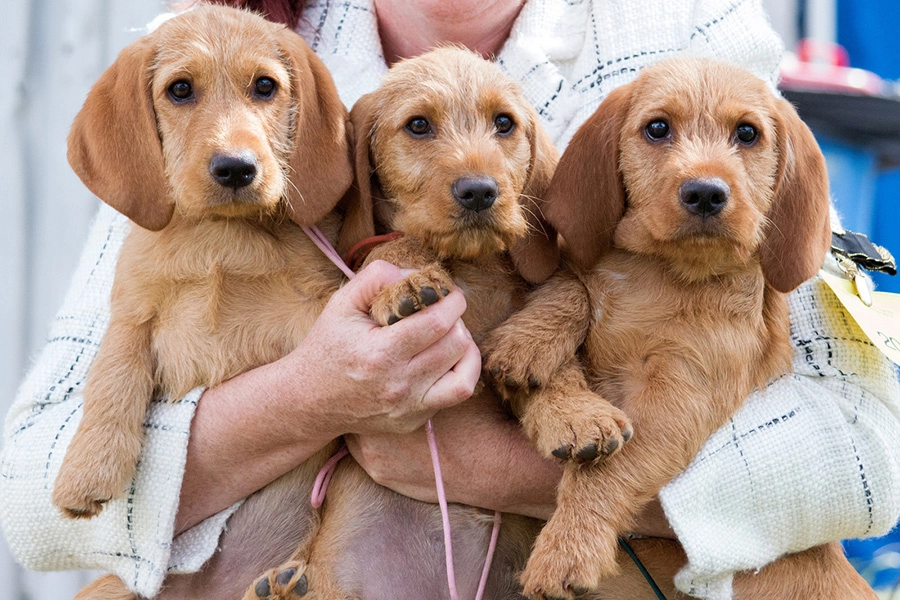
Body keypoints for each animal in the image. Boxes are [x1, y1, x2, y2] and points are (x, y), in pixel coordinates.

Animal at [52, 5, 356, 600]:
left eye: (265, 86)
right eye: (180, 90)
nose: (236, 168)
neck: (220, 238)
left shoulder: (310, 308)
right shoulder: (134, 308)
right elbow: (112, 373)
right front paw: (88, 468)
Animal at [243, 45, 560, 600]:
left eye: (504, 123)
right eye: (418, 125)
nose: (480, 191)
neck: (468, 263)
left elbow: (544, 370)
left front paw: (578, 416)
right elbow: (397, 244)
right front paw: (407, 282)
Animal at [486, 57, 872, 600]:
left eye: (747, 133)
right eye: (657, 128)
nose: (706, 192)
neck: (664, 276)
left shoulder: (679, 396)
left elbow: (608, 472)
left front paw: (568, 547)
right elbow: (573, 290)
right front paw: (531, 349)